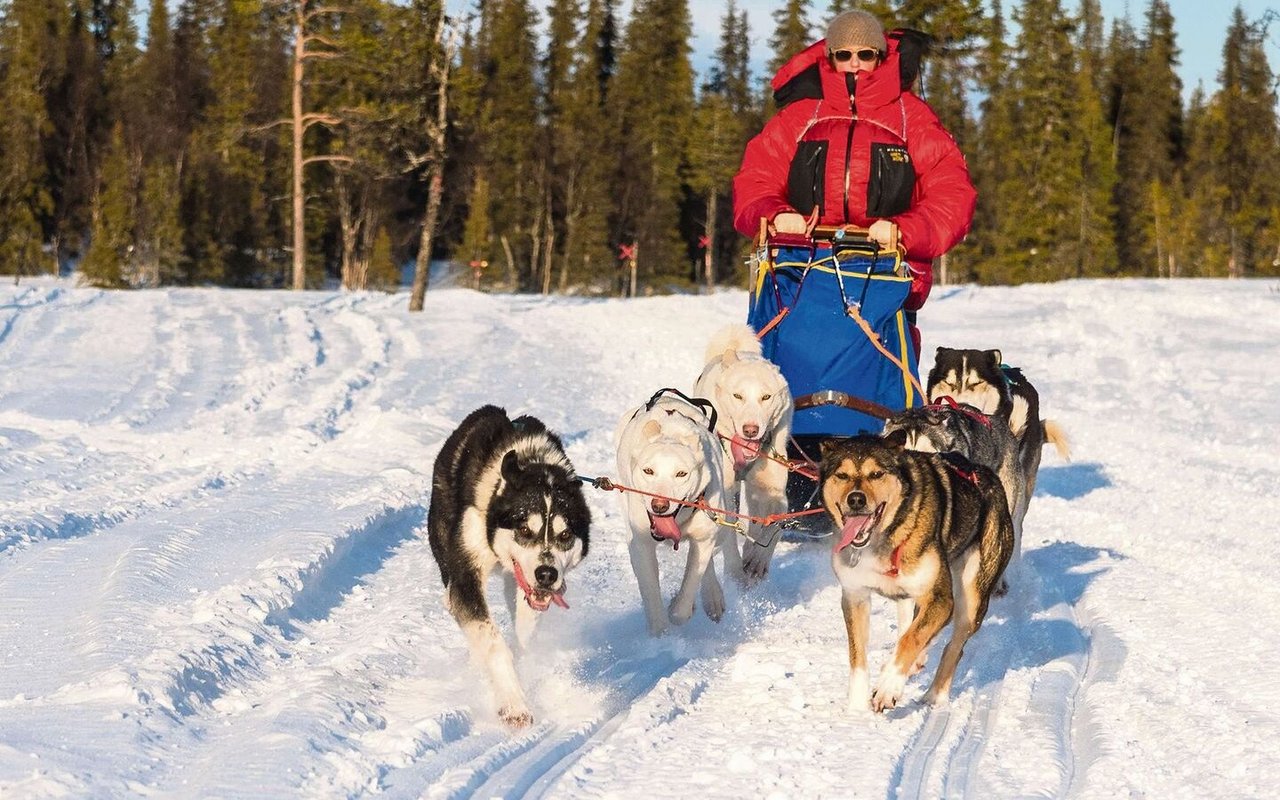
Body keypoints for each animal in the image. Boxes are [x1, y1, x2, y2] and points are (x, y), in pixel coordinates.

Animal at [427, 404, 591, 732]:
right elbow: (493, 643)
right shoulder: (466, 573)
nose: (547, 575)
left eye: (565, 535)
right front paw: (514, 705)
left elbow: (525, 635)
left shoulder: (529, 592)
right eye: (525, 530)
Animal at [616, 394, 747, 637]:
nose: (659, 505)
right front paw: (660, 635)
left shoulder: (704, 539)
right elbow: (650, 590)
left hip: (720, 526)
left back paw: (712, 597)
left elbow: (689, 587)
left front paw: (679, 607)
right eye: (648, 471)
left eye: (681, 474)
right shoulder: (642, 544)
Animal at [696, 325, 793, 581]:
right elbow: (730, 531)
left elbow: (775, 523)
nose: (751, 429)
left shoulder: (773, 491)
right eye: (738, 396)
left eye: (766, 397)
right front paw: (735, 572)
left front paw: (757, 559)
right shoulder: (726, 491)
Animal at [819, 432, 1018, 706]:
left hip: (972, 598)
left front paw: (888, 686)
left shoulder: (941, 598)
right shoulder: (854, 595)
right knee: (911, 625)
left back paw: (934, 694)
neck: (884, 538)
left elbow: (911, 639)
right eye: (842, 475)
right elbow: (858, 656)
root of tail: (986, 475)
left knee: (952, 645)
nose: (856, 499)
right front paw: (857, 709)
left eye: (877, 474)